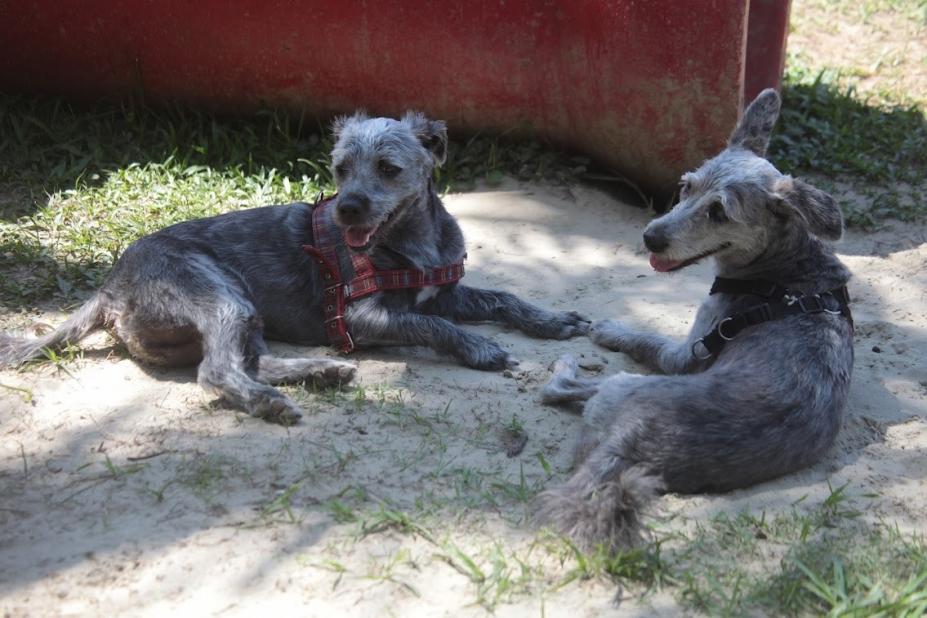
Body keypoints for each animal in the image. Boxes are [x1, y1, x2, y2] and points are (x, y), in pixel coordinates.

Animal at [1, 110, 588, 422]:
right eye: (341, 168)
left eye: (388, 168)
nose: (347, 208)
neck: (409, 245)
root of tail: (109, 286)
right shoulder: (361, 318)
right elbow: (432, 324)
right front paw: (479, 347)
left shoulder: (444, 289)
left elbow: (502, 298)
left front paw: (552, 320)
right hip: (220, 296)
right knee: (216, 370)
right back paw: (270, 402)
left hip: (245, 313)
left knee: (249, 360)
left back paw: (319, 372)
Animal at [540, 89, 860, 548]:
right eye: (686, 187)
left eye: (719, 213)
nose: (650, 237)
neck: (787, 271)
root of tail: (632, 445)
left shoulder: (688, 350)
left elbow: (649, 340)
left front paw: (611, 329)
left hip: (623, 385)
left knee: (558, 389)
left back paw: (564, 366)